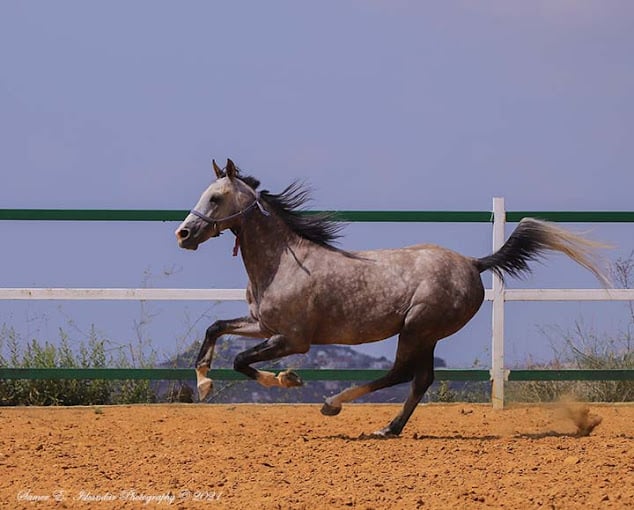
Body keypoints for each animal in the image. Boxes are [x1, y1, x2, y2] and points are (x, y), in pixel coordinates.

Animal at [174, 160, 608, 438]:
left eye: (215, 198)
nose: (183, 234)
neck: (285, 261)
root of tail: (474, 263)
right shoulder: (263, 325)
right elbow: (216, 330)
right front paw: (205, 383)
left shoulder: (293, 339)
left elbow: (241, 361)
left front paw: (288, 379)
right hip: (427, 334)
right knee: (420, 380)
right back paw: (389, 428)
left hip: (417, 328)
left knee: (400, 374)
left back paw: (334, 404)